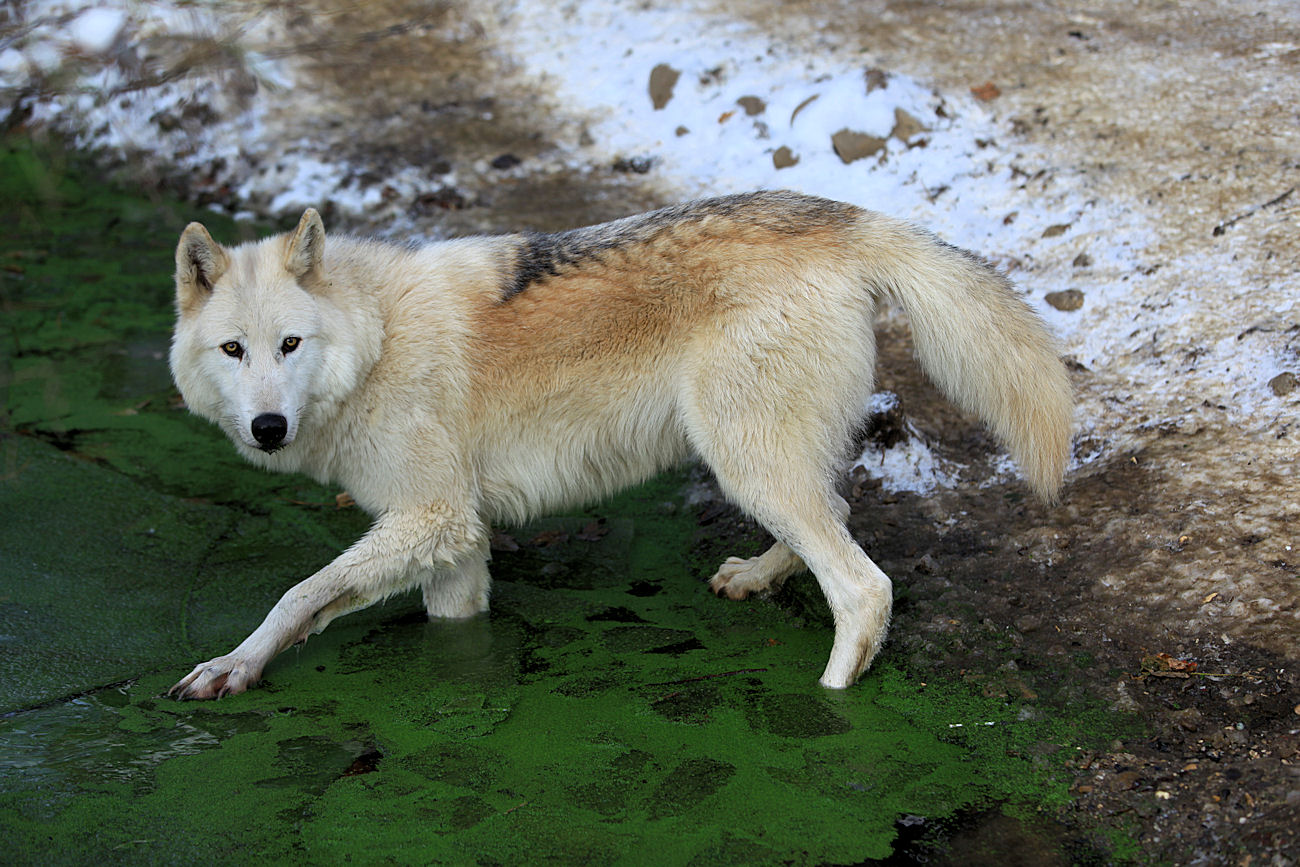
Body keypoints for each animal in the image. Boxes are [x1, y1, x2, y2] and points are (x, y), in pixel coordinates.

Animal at [167, 189, 1071, 696]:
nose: (269, 427)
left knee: (865, 585)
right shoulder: (455, 542)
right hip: (761, 460)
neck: (377, 338)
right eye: (234, 350)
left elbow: (298, 593)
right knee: (837, 512)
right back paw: (754, 576)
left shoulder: (433, 517)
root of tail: (847, 219)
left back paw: (834, 695)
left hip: (742, 459)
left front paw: (230, 665)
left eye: (289, 345)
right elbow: (439, 623)